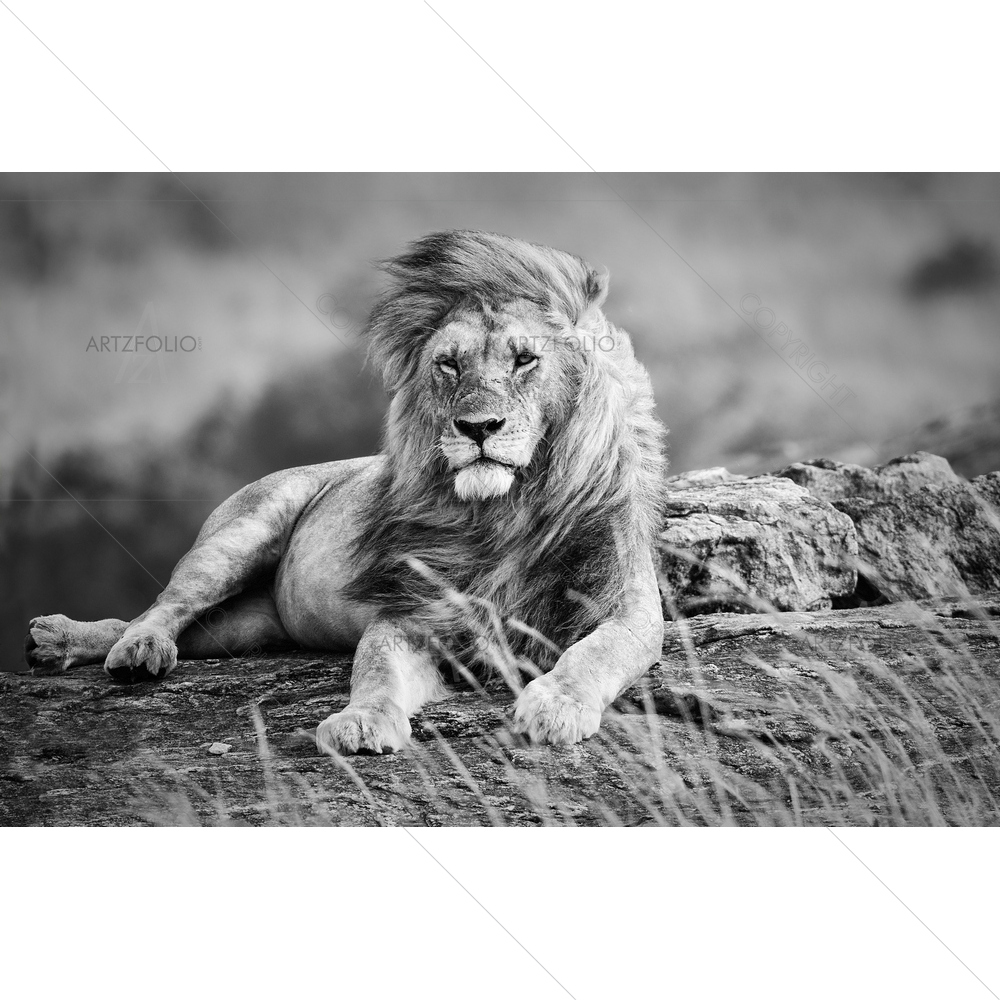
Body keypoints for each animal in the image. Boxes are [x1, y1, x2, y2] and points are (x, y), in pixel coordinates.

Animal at [24, 230, 668, 754]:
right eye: (449, 366)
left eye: (525, 359)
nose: (477, 427)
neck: (504, 512)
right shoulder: (410, 613)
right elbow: (376, 670)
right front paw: (362, 723)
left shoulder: (627, 607)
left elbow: (596, 652)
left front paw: (556, 705)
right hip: (240, 534)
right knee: (162, 606)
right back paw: (122, 648)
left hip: (246, 629)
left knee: (171, 623)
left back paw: (60, 642)